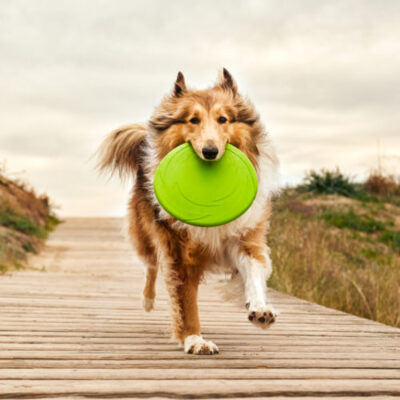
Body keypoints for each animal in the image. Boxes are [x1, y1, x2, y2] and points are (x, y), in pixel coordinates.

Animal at [98, 69, 280, 356]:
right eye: (193, 120)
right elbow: (186, 302)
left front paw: (261, 310)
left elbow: (255, 271)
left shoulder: (244, 236)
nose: (210, 152)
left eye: (223, 119)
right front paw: (195, 339)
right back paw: (147, 300)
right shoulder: (180, 251)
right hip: (144, 234)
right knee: (151, 264)